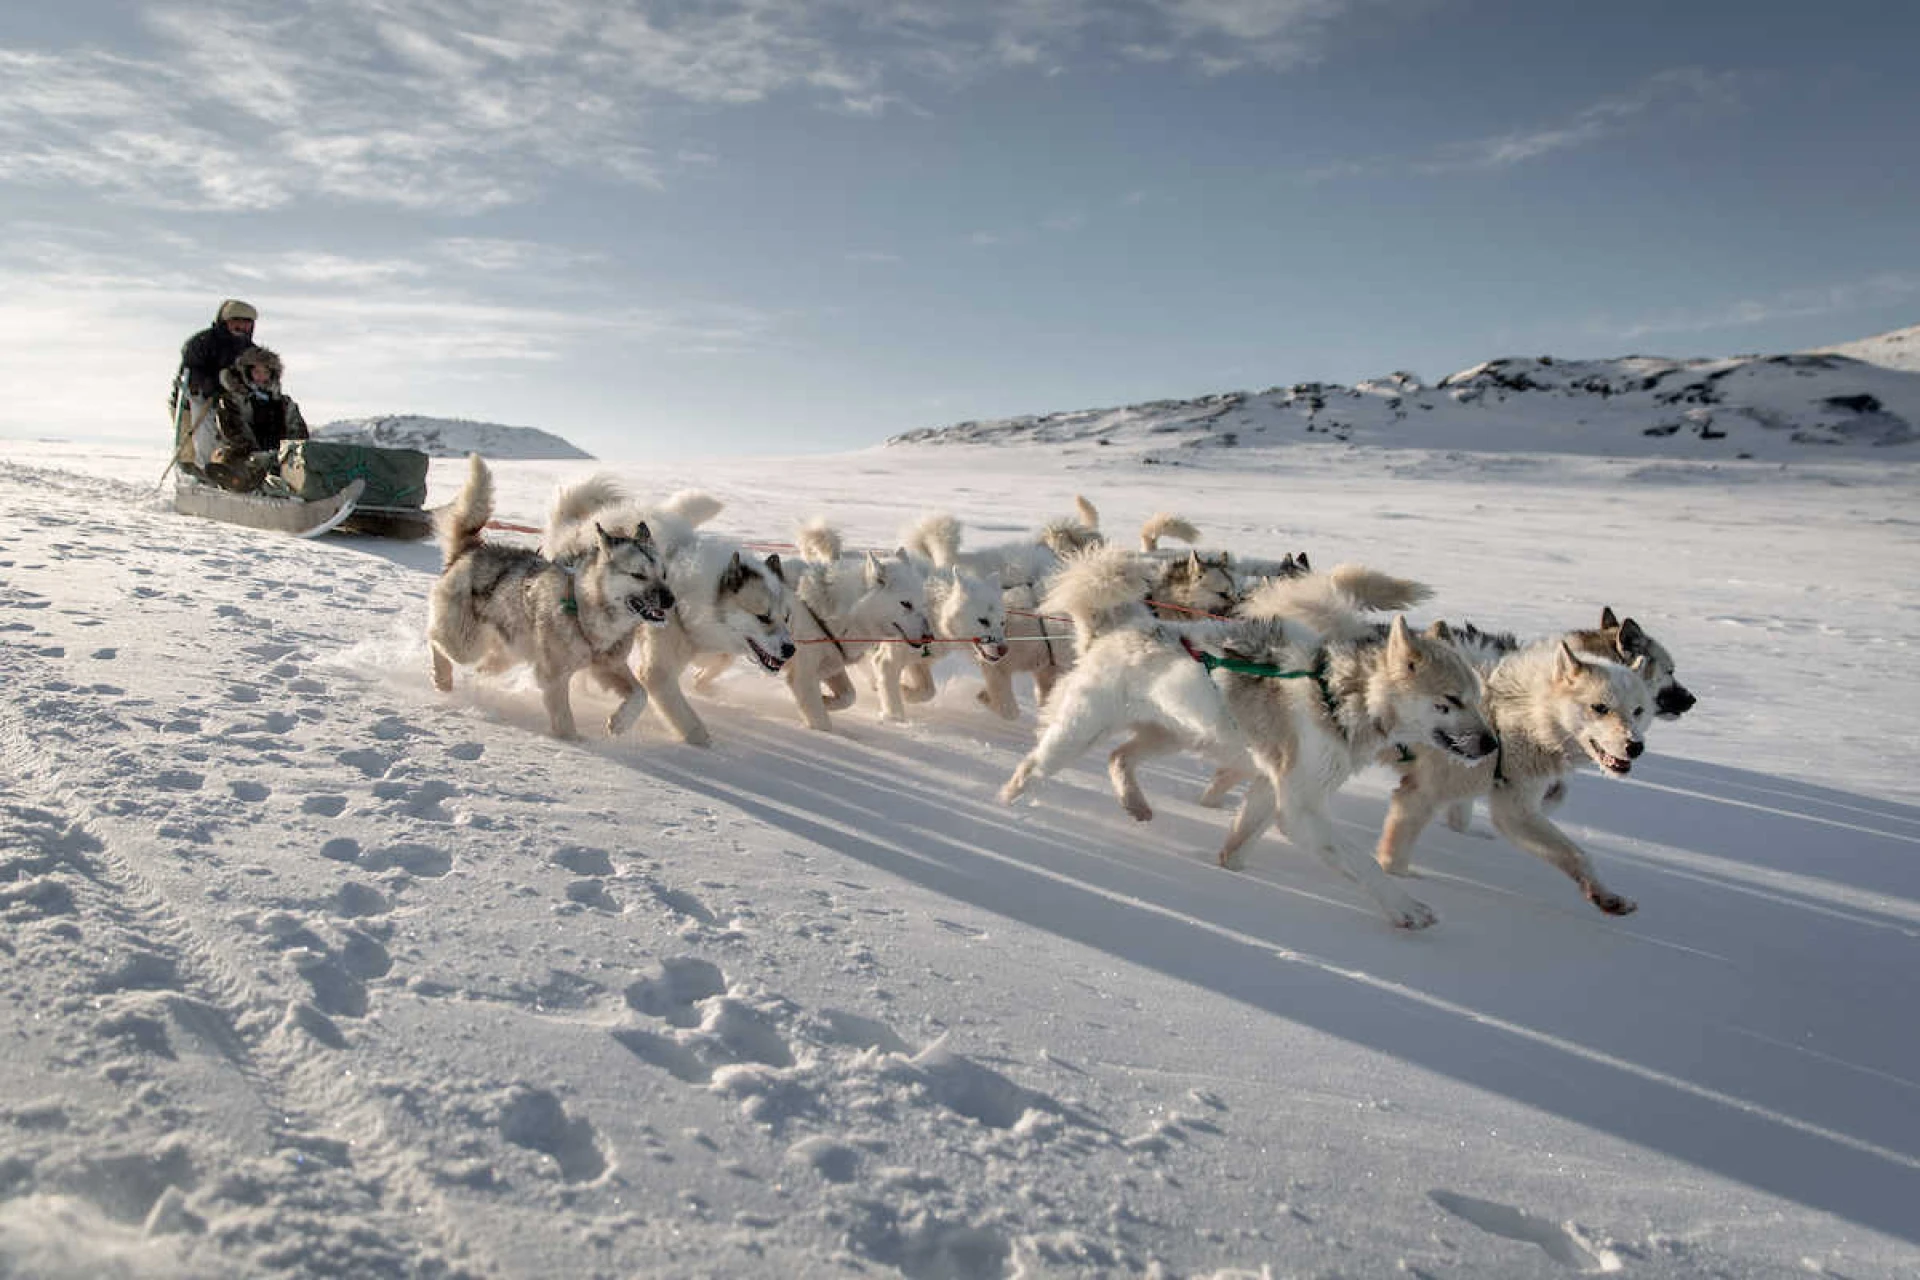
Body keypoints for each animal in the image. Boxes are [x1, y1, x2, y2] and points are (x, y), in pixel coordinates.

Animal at [428, 452, 675, 740]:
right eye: (638, 575)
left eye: (664, 574)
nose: (670, 600)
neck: (585, 611)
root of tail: (471, 549)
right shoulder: (554, 676)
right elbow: (564, 719)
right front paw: (574, 743)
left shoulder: (608, 667)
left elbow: (640, 695)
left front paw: (620, 722)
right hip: (466, 645)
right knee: (434, 640)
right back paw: (442, 678)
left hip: (507, 652)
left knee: (481, 667)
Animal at [549, 475, 794, 744]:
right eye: (763, 617)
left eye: (787, 618)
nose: (791, 649)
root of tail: (575, 527)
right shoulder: (659, 673)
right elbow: (690, 723)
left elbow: (723, 660)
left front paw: (703, 681)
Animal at [1382, 610, 1681, 909]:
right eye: (1600, 708)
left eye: (1637, 711)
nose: (1635, 747)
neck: (1508, 715)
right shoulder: (1419, 794)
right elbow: (1395, 858)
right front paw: (1401, 888)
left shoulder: (1514, 811)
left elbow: (1576, 855)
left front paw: (1605, 896)